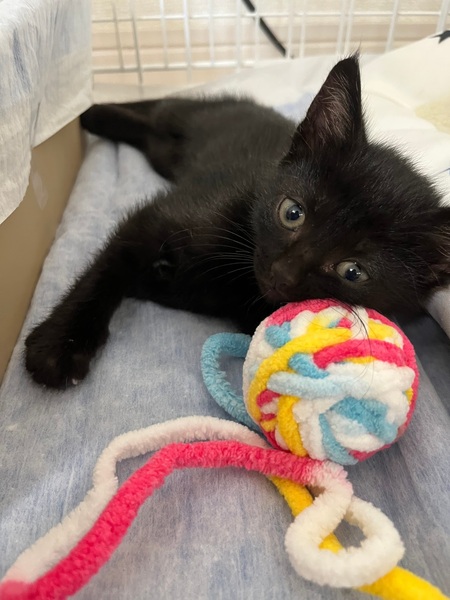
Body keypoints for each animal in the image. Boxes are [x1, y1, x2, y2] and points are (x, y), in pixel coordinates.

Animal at [25, 56, 450, 389]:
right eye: (292, 212)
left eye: (353, 271)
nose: (282, 273)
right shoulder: (155, 219)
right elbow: (107, 271)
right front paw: (59, 344)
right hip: (195, 120)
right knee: (162, 105)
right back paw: (90, 113)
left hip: (162, 152)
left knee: (151, 130)